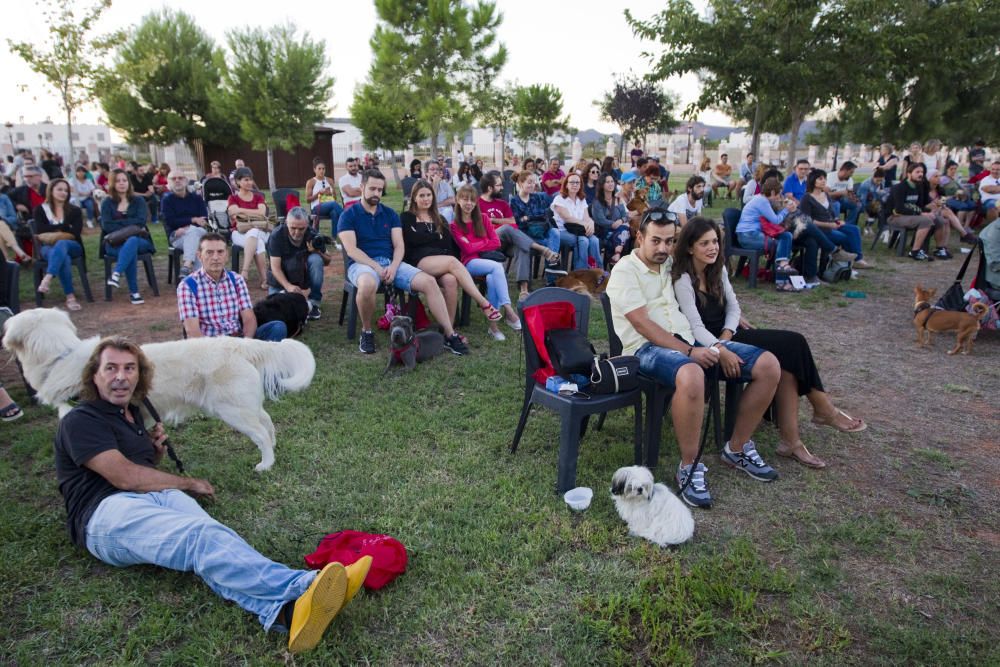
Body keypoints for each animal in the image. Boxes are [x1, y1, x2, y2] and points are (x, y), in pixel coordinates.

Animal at [1, 310, 314, 472]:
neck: (60, 356)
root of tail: (239, 343)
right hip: (243, 404)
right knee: (267, 423)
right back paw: (273, 449)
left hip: (232, 410)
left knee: (260, 433)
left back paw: (266, 464)